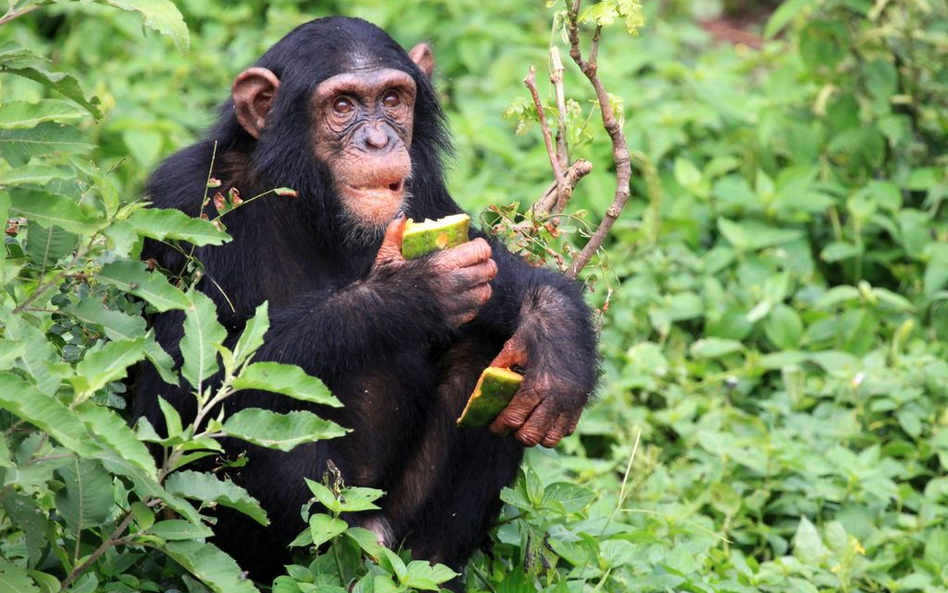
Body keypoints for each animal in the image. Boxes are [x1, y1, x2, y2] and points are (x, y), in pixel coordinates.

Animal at [137, 16, 596, 588]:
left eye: (393, 99)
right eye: (342, 106)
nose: (378, 138)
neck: (309, 200)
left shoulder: (425, 191)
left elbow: (486, 260)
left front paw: (556, 330)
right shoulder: (184, 202)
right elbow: (175, 395)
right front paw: (407, 293)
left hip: (395, 527)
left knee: (490, 356)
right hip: (327, 526)